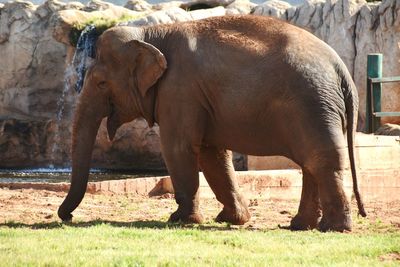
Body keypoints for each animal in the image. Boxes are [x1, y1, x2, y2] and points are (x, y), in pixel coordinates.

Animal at [57, 14, 368, 232]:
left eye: (101, 83)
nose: (66, 217)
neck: (152, 35)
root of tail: (341, 69)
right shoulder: (198, 99)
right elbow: (212, 154)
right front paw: (232, 219)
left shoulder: (179, 90)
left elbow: (178, 148)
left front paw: (179, 220)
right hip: (316, 108)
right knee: (310, 163)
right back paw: (299, 225)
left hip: (313, 106)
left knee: (320, 159)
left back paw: (333, 228)